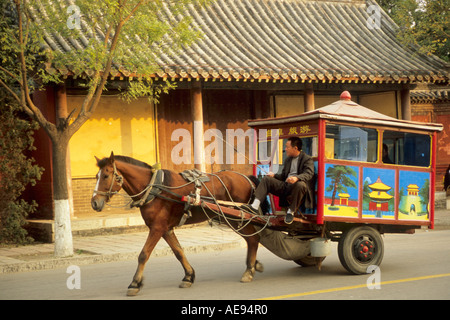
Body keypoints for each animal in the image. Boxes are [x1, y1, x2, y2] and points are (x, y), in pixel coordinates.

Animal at [90, 152, 262, 296]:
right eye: (96, 176)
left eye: (106, 176)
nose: (94, 203)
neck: (154, 188)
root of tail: (246, 178)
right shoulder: (166, 229)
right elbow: (178, 251)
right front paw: (189, 276)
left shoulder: (157, 228)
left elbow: (143, 254)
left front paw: (134, 283)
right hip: (233, 218)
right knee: (251, 239)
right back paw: (254, 265)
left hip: (238, 217)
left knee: (253, 239)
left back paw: (249, 270)